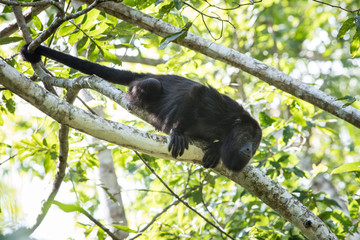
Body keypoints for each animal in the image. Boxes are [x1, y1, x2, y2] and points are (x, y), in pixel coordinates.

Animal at [20, 44, 262, 172]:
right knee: (152, 86)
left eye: (256, 143)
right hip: (145, 85)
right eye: (246, 137)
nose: (249, 150)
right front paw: (176, 131)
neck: (229, 127)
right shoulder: (221, 109)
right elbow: (196, 92)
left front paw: (215, 147)